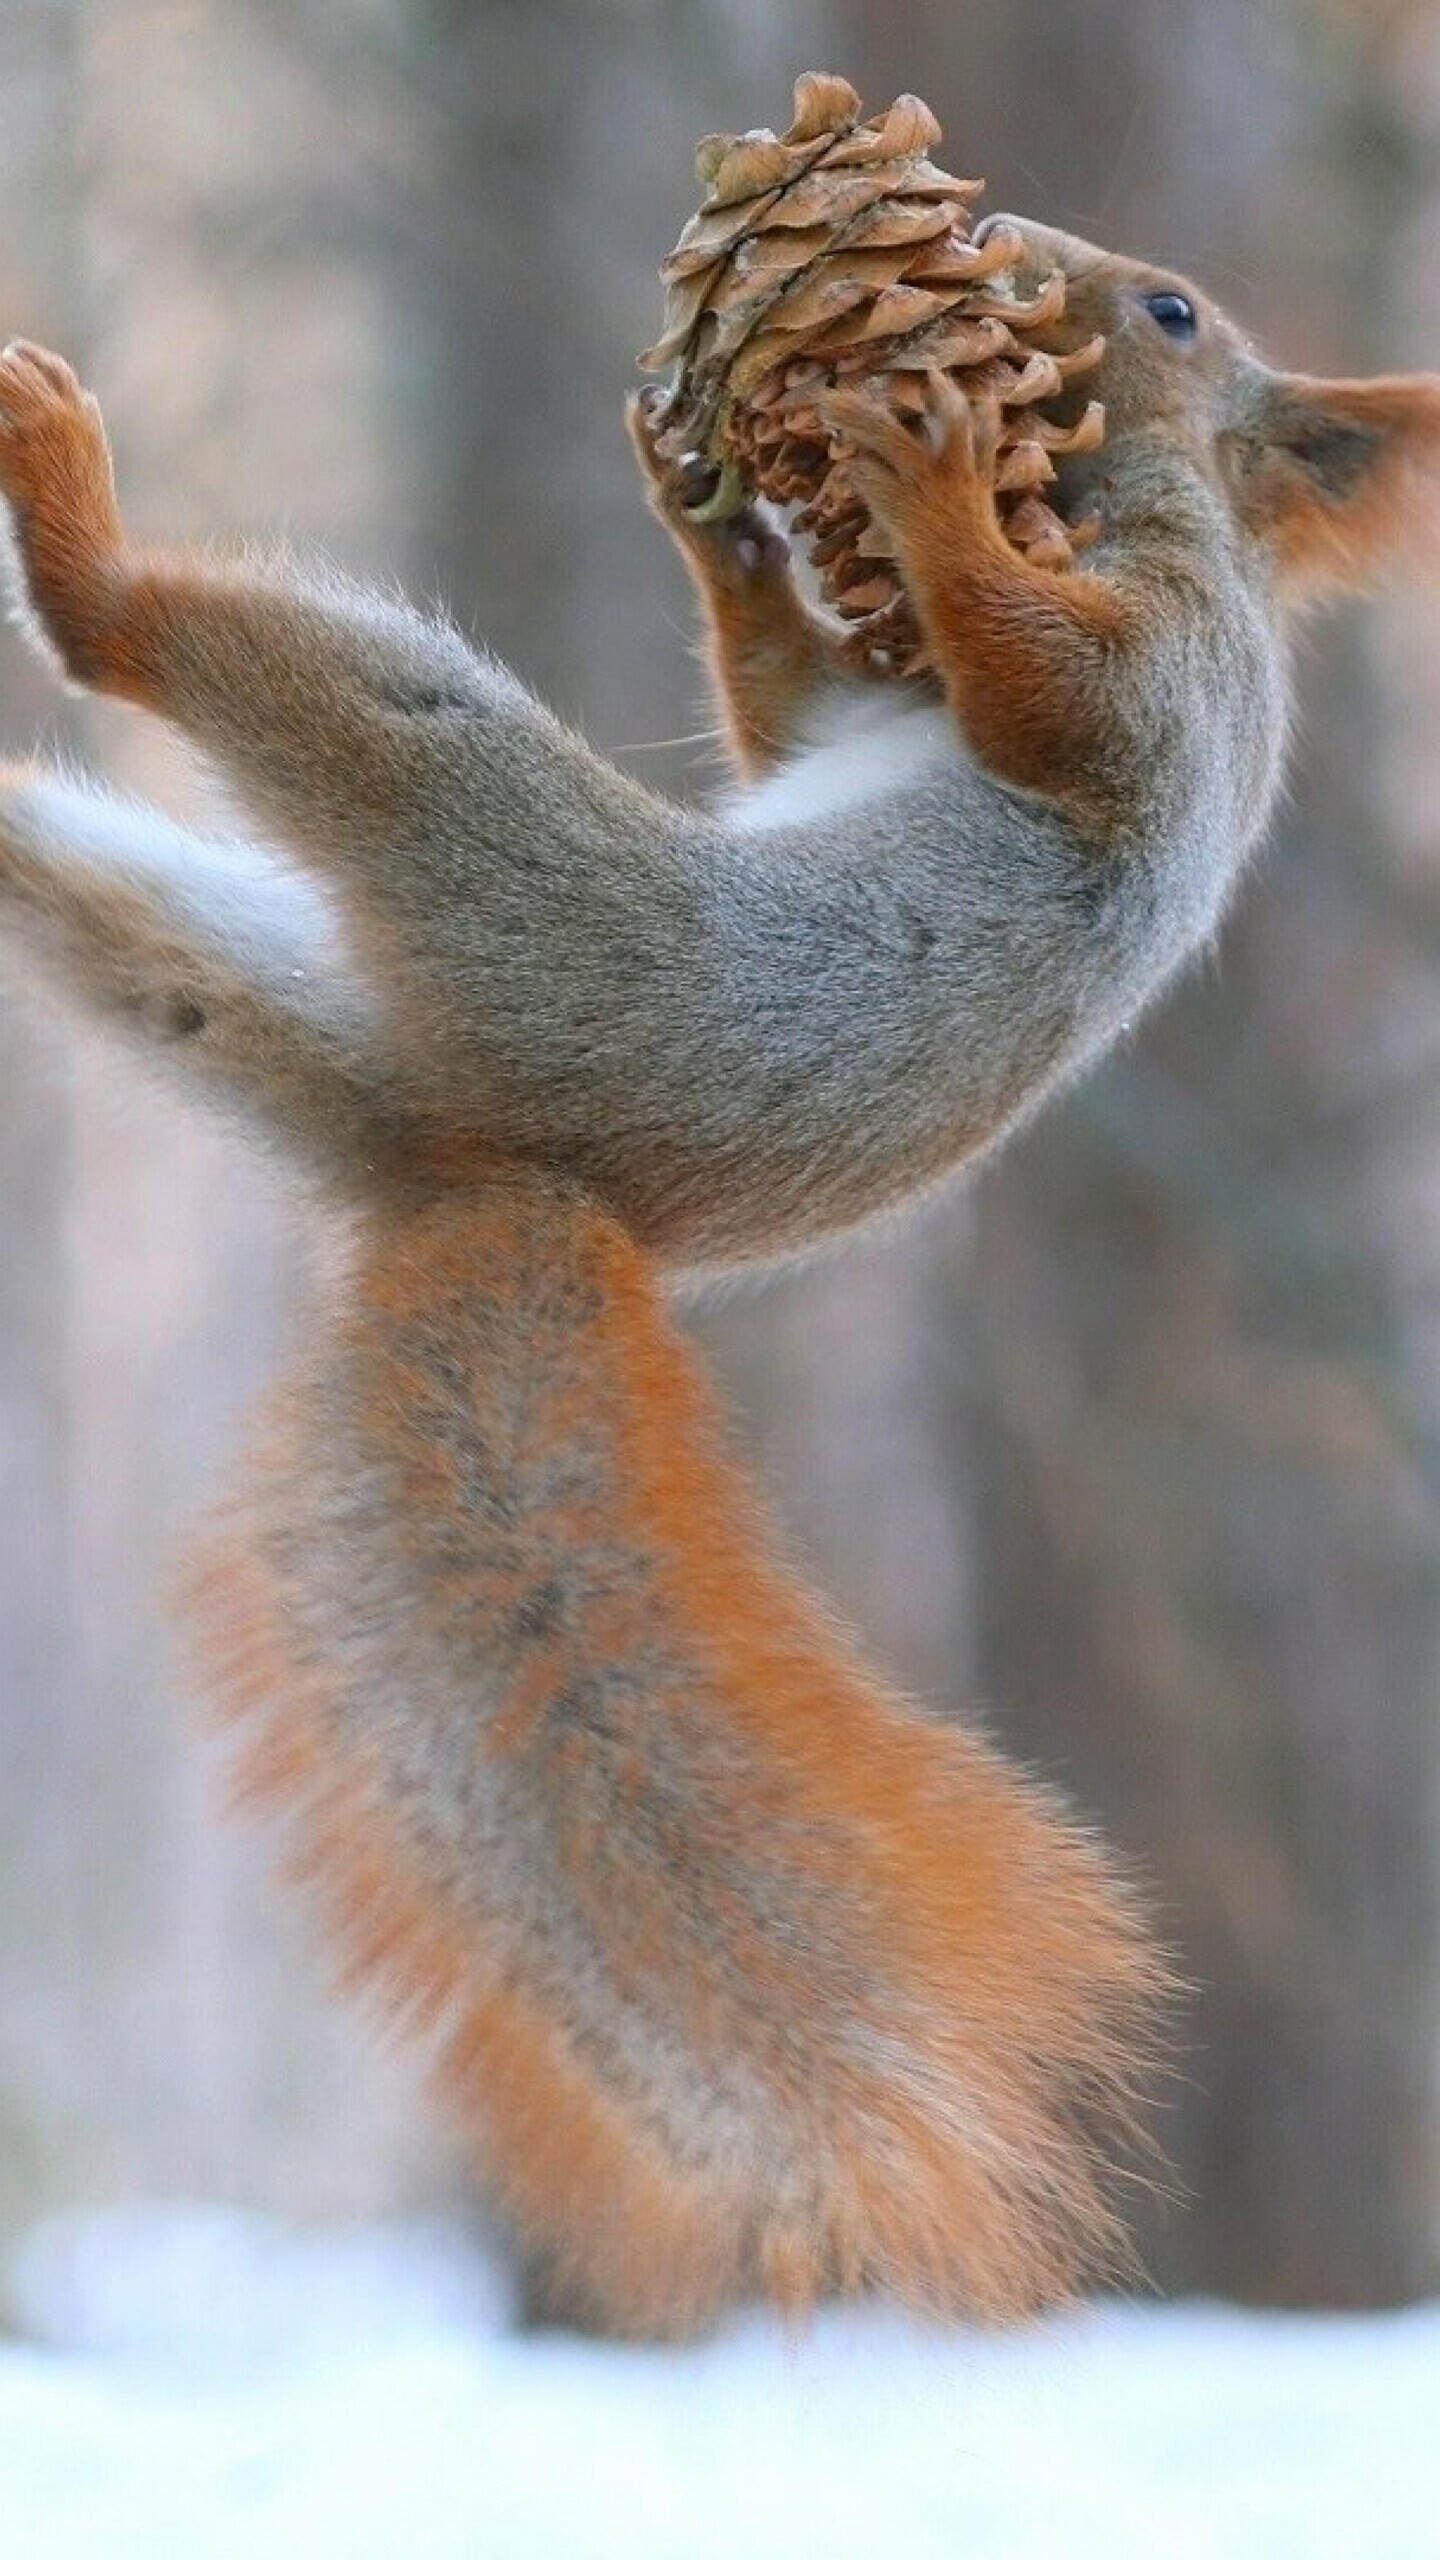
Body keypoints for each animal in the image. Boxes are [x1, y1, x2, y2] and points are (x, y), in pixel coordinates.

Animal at [0, 220, 1424, 2334]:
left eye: (1173, 315)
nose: (1017, 258)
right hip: (243, 970)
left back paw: (72, 518)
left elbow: (1049, 703)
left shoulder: (1170, 680)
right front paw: (730, 526)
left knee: (187, 662)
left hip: (495, 848)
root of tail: (487, 1167)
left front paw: (925, 489)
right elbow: (786, 714)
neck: (1124, 502)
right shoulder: (850, 716)